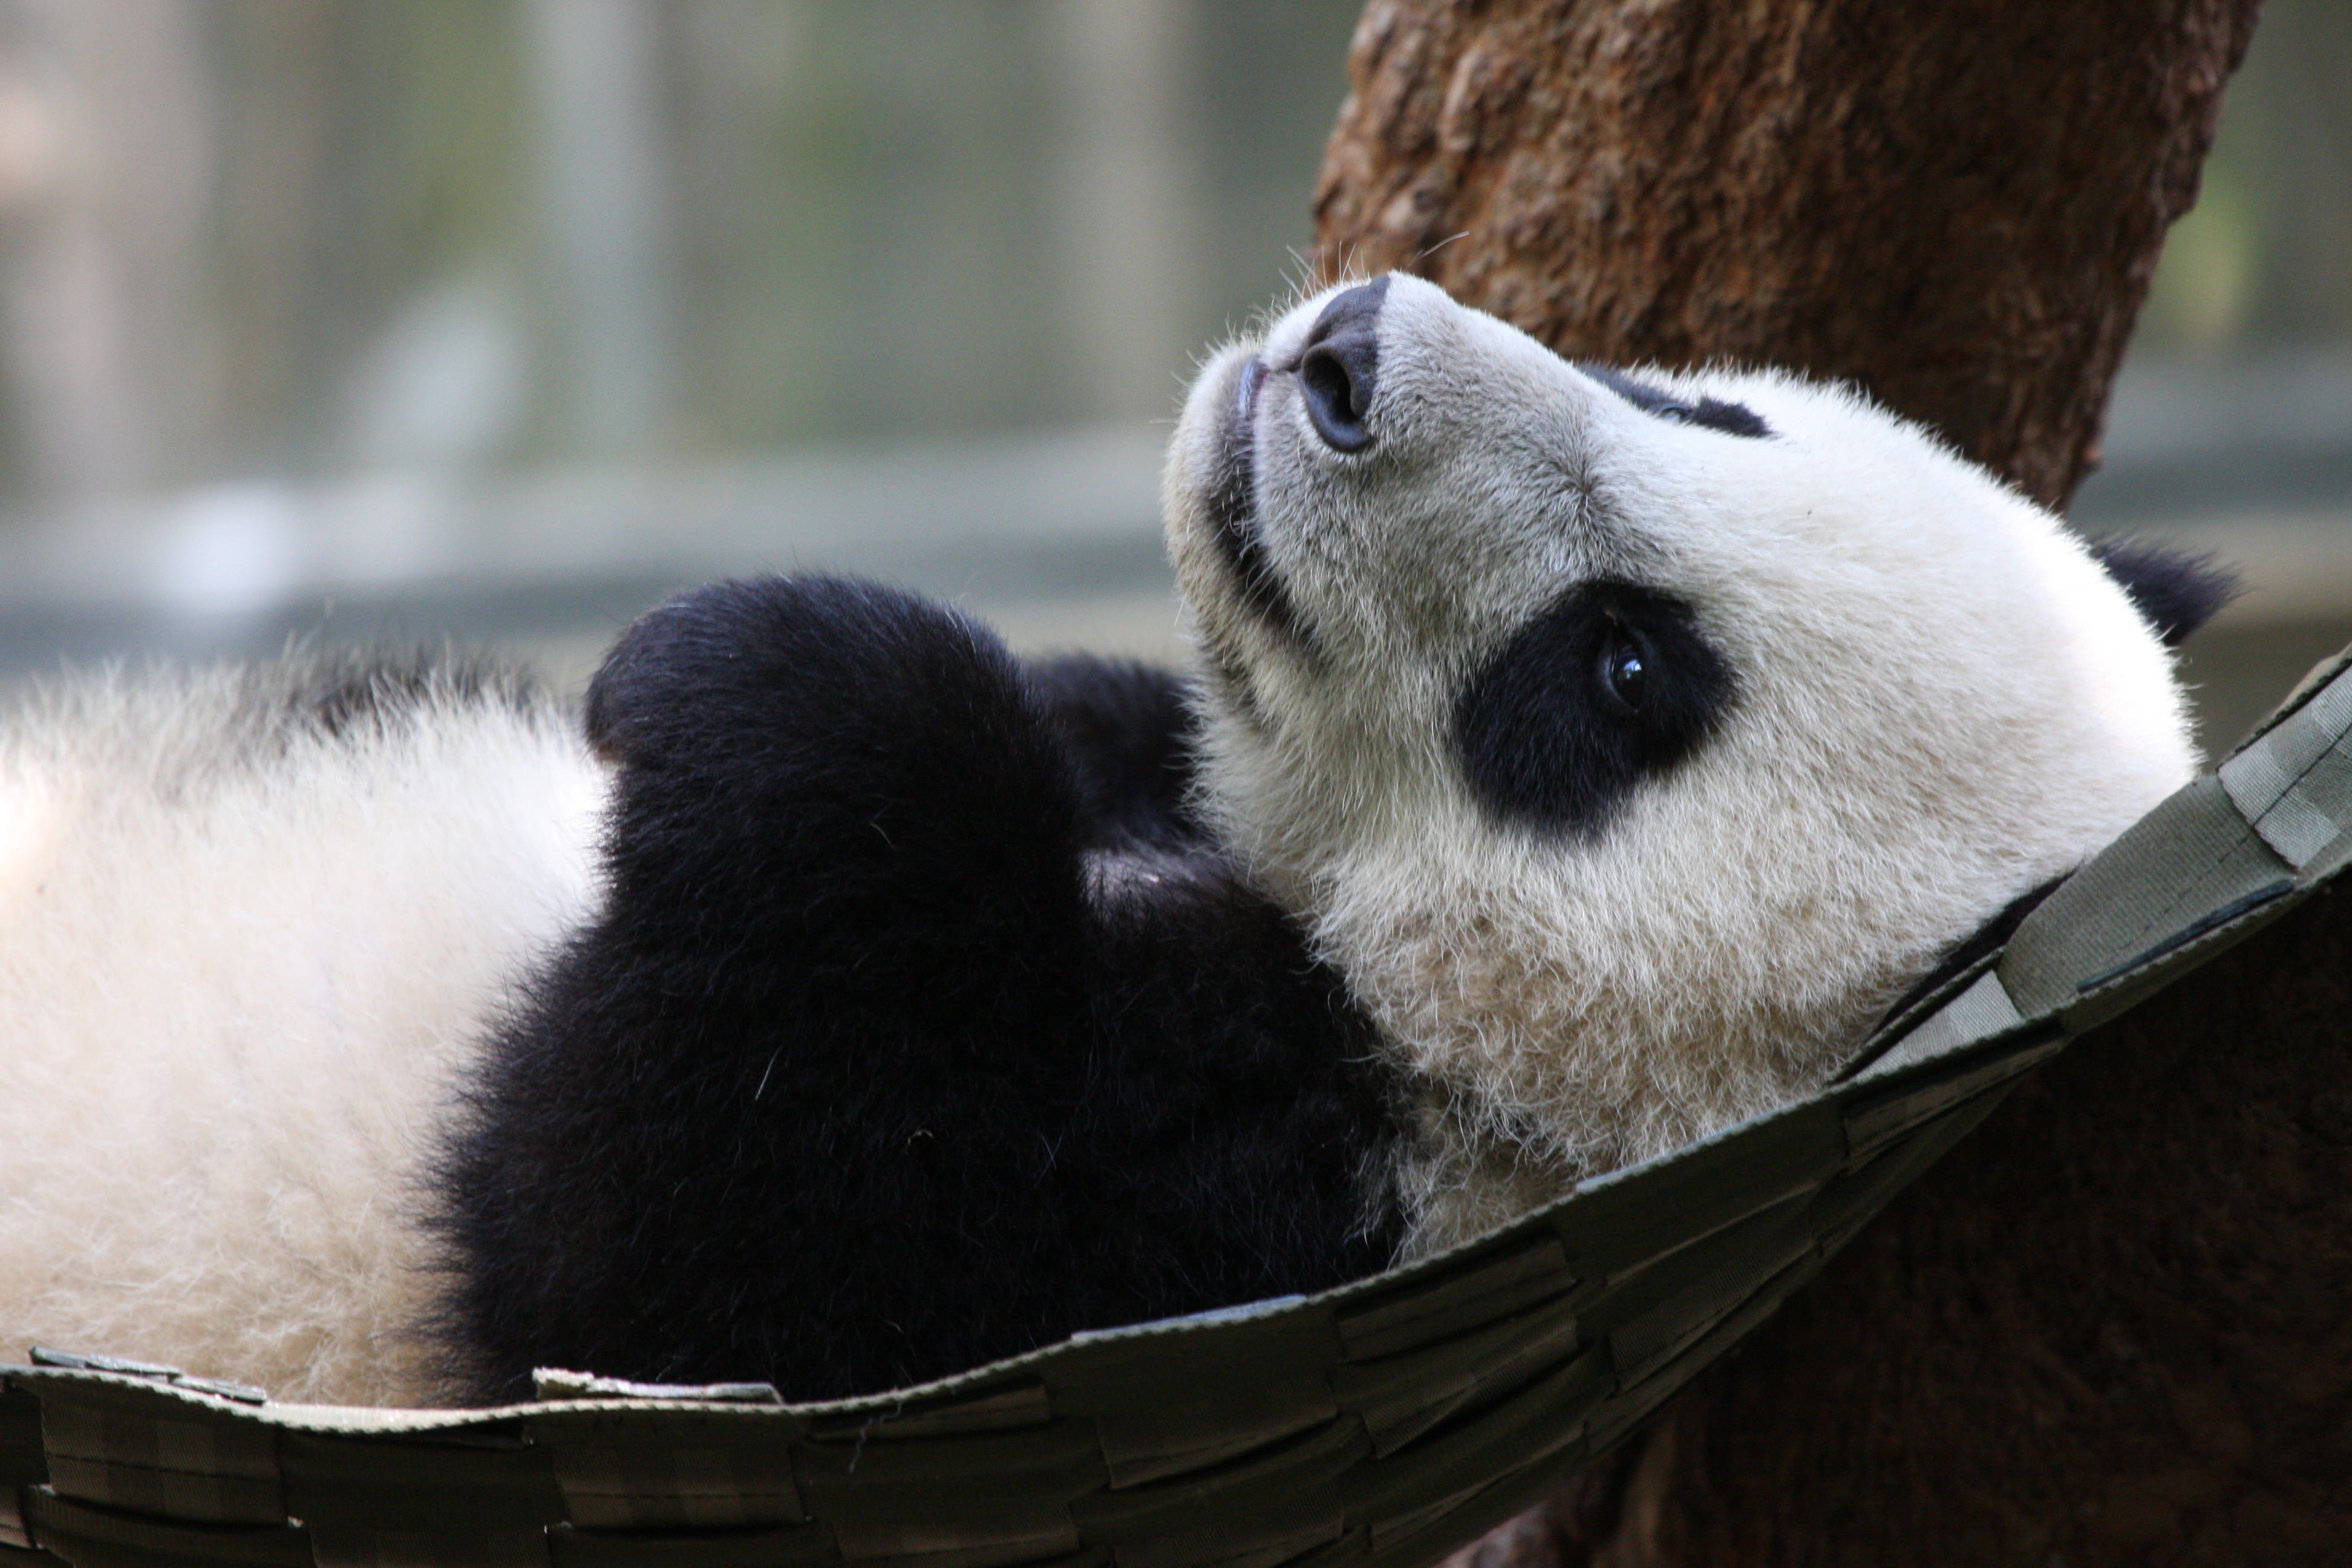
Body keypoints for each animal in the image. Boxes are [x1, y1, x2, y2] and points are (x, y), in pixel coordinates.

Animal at [0, 273, 2229, 1408]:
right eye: (1708, 406)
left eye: (1618, 674)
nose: (1341, 353)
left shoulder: (1187, 1240)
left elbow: (645, 1225)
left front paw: (739, 674)